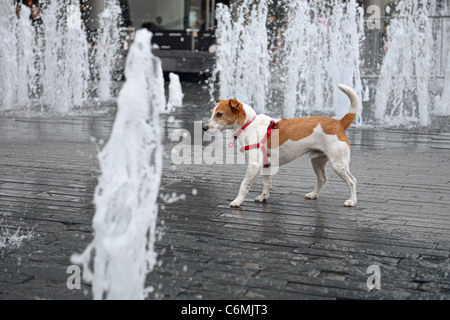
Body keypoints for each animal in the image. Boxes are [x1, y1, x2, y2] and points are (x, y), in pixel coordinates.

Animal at [202, 84, 360, 208]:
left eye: (219, 114)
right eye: (212, 113)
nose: (204, 127)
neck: (249, 124)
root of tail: (339, 122)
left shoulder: (254, 165)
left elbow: (244, 185)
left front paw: (237, 201)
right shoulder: (266, 165)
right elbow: (266, 183)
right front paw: (264, 197)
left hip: (338, 164)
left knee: (352, 181)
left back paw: (352, 201)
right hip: (317, 161)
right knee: (322, 179)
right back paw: (313, 194)